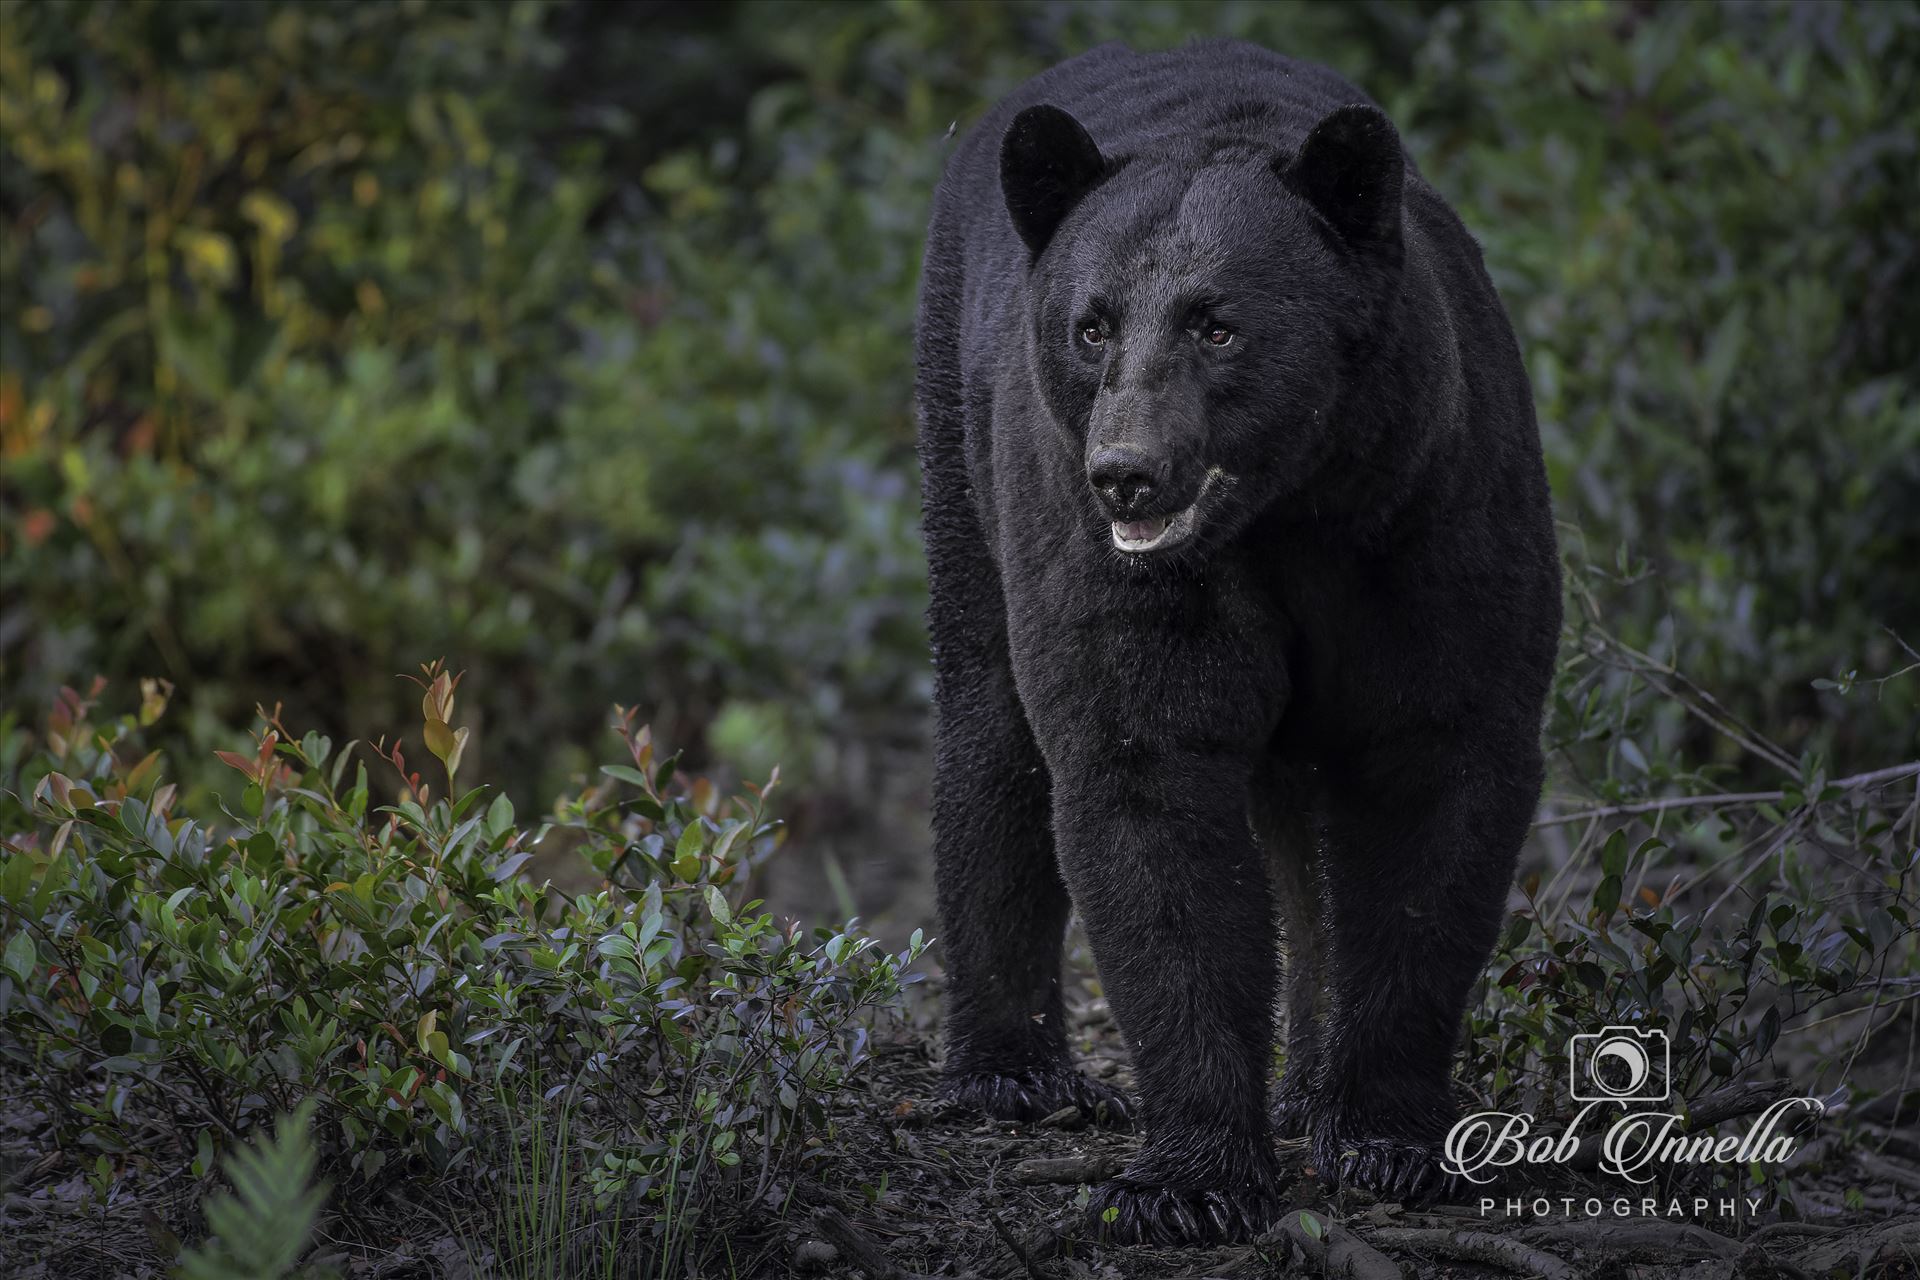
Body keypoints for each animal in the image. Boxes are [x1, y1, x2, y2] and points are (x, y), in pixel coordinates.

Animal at [913, 42, 1559, 1251]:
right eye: (1094, 325)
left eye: (1218, 324)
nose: (1125, 472)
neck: (1287, 513)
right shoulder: (1126, 570)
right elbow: (1145, 777)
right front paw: (1192, 1178)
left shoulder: (1436, 508)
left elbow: (1435, 768)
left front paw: (1387, 1136)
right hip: (962, 439)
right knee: (990, 720)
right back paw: (1013, 1068)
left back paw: (1304, 1081)